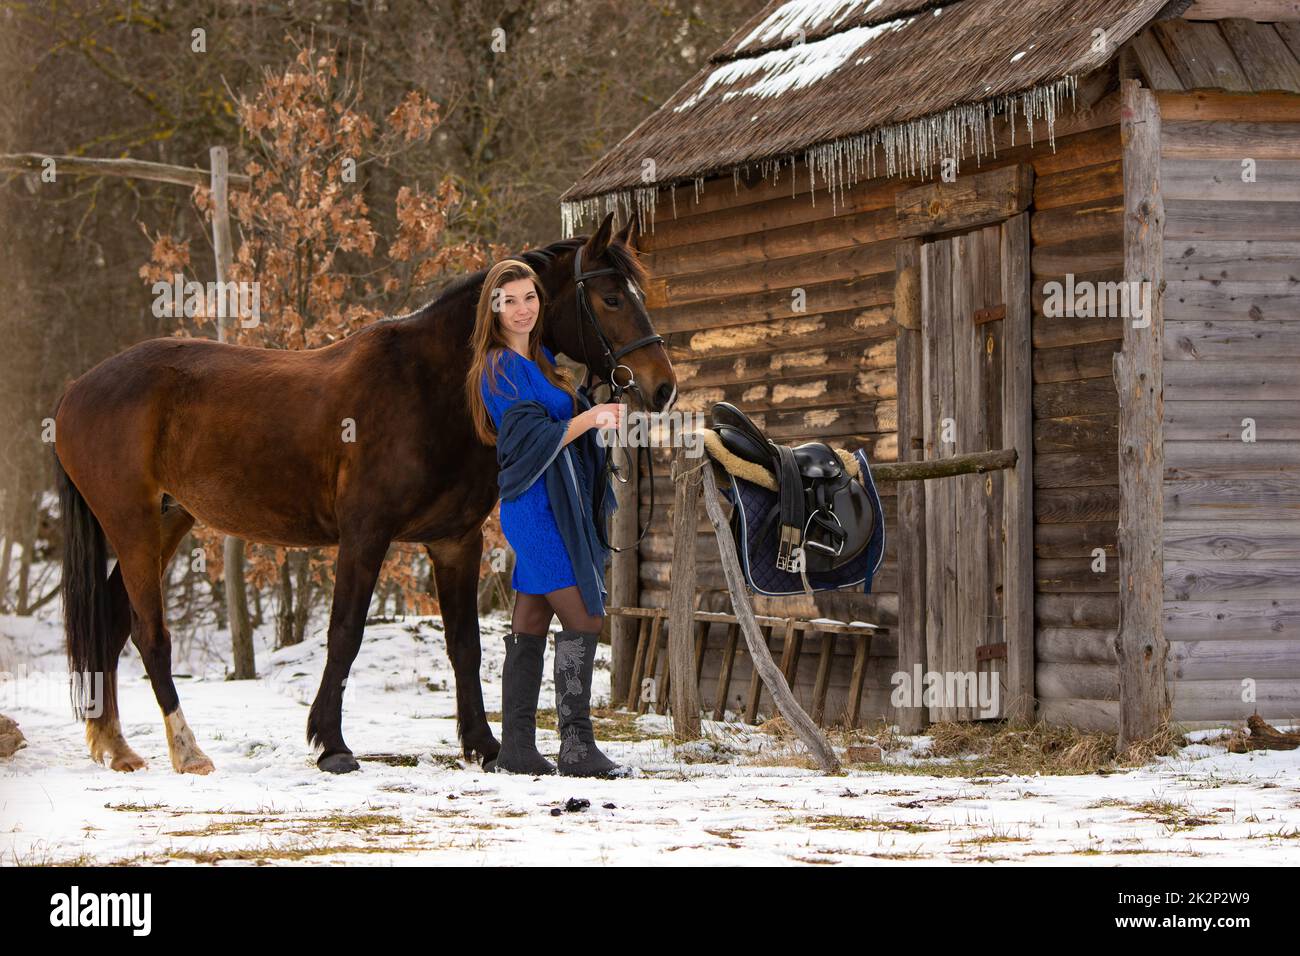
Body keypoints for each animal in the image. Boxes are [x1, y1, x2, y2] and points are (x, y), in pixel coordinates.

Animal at [50, 213, 676, 775]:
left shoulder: (455, 542)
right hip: (131, 524)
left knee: (113, 621)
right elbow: (345, 634)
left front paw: (485, 746)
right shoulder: (365, 536)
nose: (662, 388)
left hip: (164, 522)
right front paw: (331, 744)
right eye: (611, 299)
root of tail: (76, 390)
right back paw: (187, 752)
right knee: (149, 633)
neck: (432, 388)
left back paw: (118, 748)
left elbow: (465, 644)